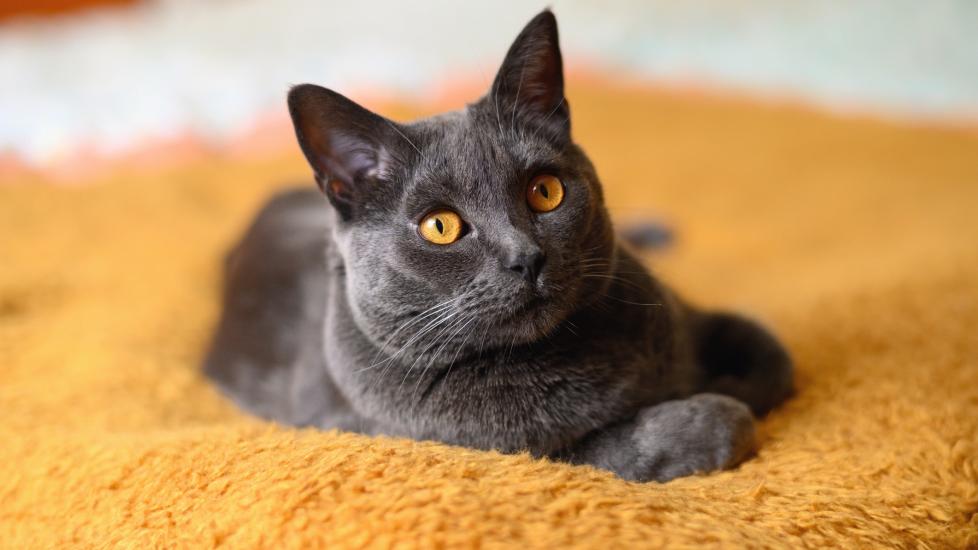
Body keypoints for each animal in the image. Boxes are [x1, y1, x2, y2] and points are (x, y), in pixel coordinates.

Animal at [204, 9, 792, 484]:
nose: (526, 256)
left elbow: (770, 356)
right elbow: (697, 425)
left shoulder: (689, 312)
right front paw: (713, 401)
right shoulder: (523, 451)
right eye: (440, 227)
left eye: (545, 191)